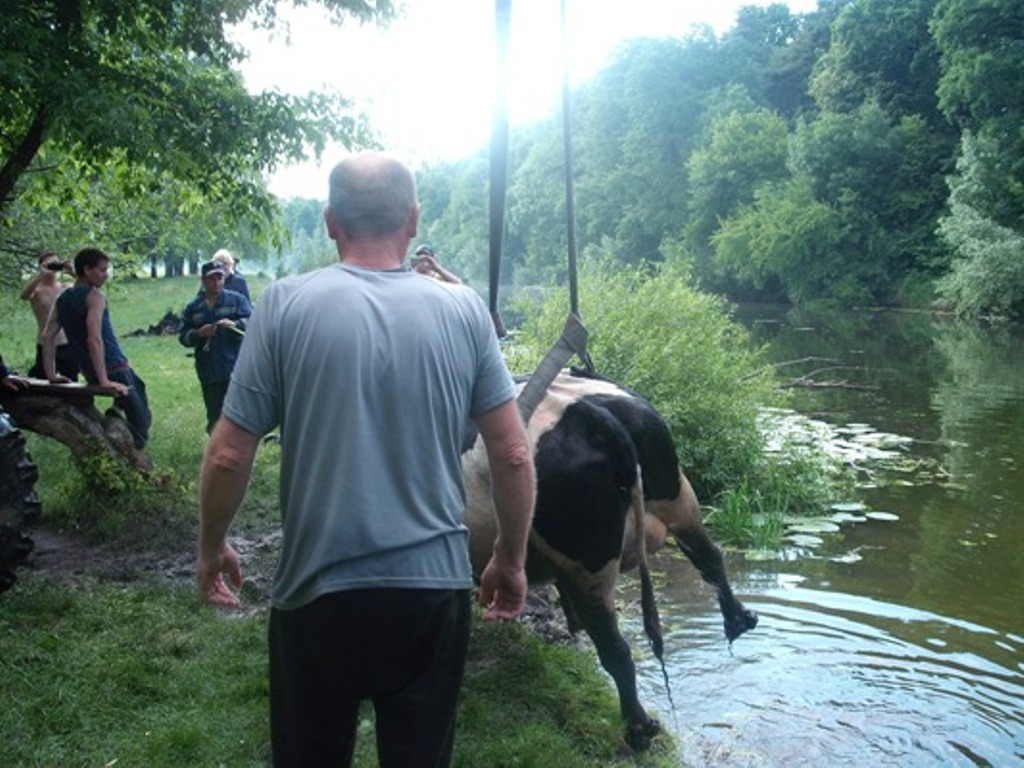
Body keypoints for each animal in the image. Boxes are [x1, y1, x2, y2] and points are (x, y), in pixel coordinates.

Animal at [460, 366, 757, 753]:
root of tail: (594, 416)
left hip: (585, 560)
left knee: (616, 649)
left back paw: (639, 728)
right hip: (679, 498)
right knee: (710, 558)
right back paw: (738, 619)